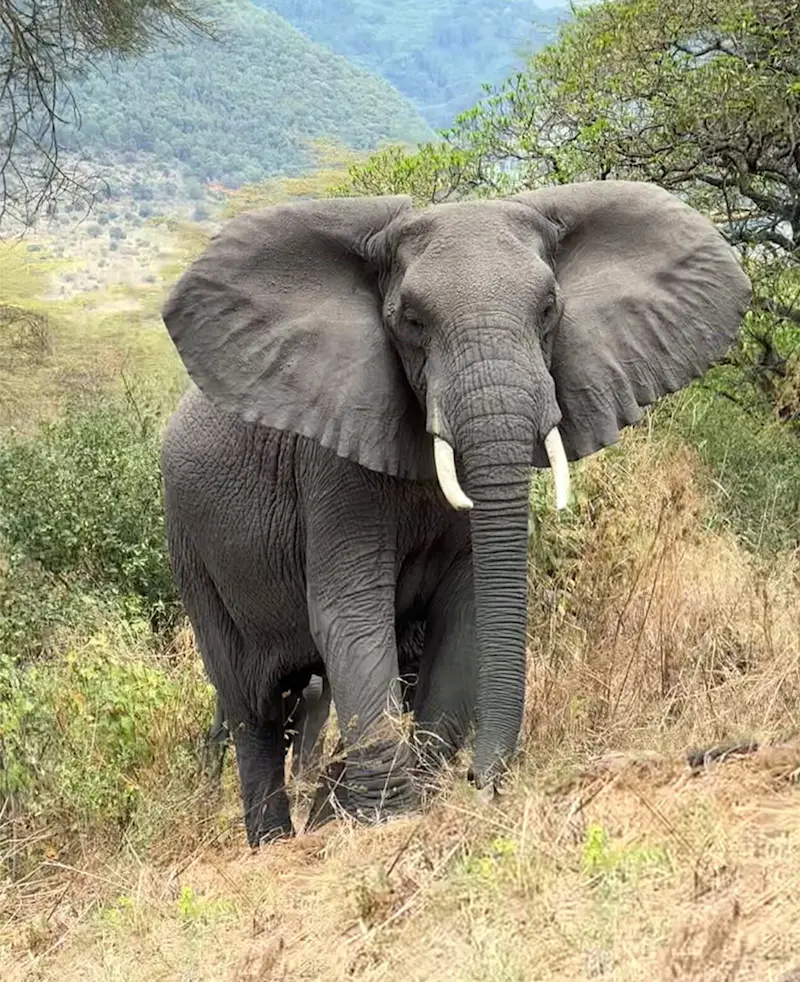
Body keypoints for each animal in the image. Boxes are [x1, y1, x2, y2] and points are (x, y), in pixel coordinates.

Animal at [160, 180, 751, 846]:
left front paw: (403, 796)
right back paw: (275, 843)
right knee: (251, 709)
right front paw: (384, 816)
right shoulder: (330, 464)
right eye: (412, 322)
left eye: (550, 309)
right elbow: (349, 613)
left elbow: (465, 608)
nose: (485, 782)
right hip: (190, 547)